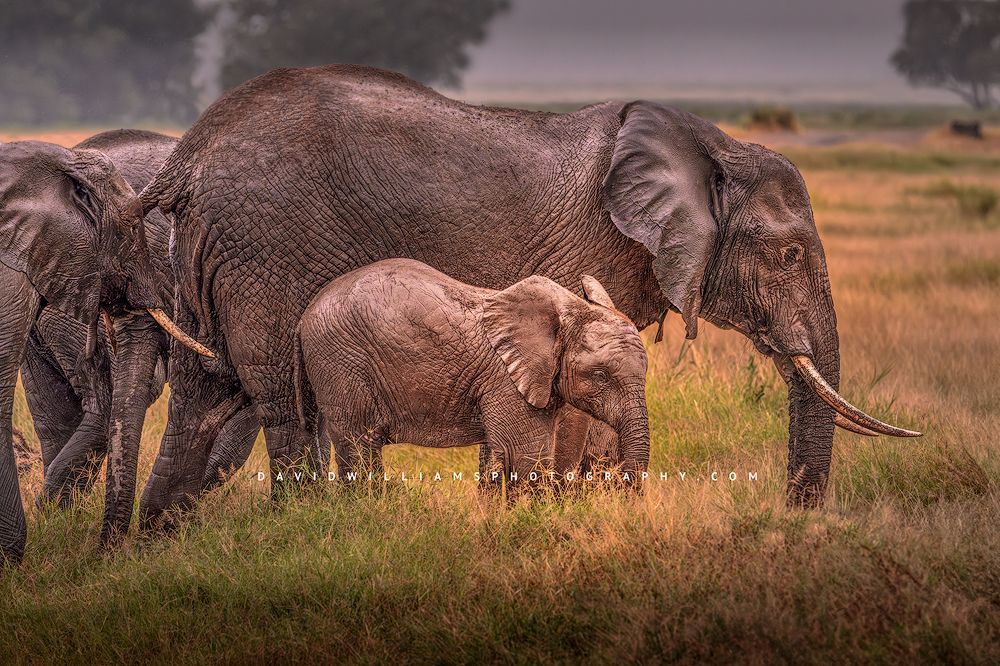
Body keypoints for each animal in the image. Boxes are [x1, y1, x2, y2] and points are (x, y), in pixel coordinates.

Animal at [295, 259, 649, 487]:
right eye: (601, 375)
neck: (570, 309)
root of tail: (302, 318)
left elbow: (506, 457)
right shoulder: (506, 382)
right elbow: (528, 458)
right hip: (340, 365)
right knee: (359, 446)